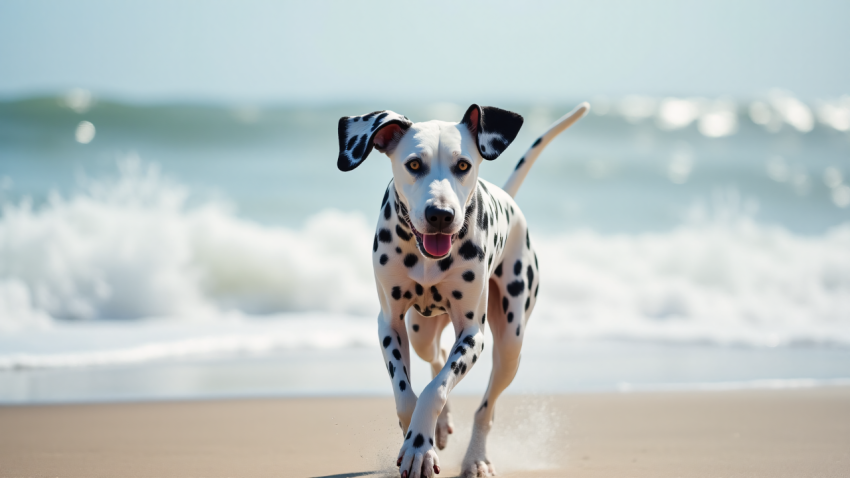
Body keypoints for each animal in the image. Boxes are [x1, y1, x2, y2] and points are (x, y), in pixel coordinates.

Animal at [334, 102, 588, 476]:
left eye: (463, 165)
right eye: (414, 164)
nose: (440, 214)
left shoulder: (472, 334)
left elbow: (436, 390)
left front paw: (419, 446)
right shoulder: (390, 325)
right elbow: (407, 393)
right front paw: (416, 439)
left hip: (510, 344)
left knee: (486, 407)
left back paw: (475, 458)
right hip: (421, 330)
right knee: (436, 353)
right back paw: (441, 427)